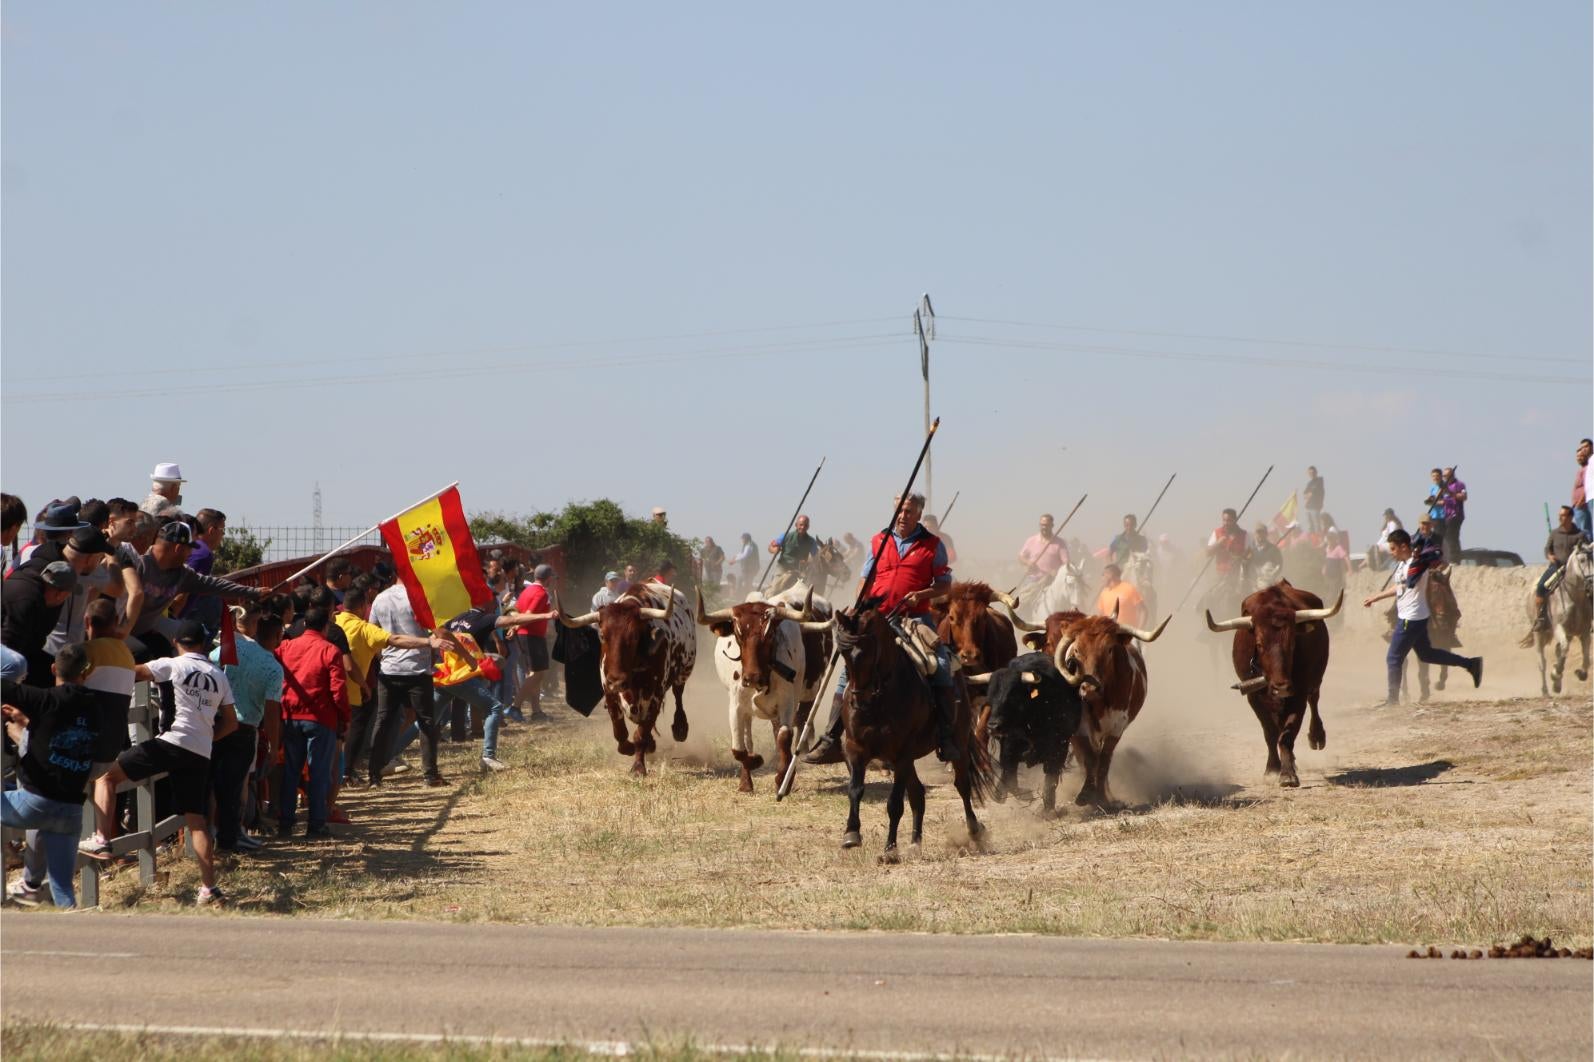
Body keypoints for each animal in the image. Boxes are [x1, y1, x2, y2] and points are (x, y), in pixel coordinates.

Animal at [557, 580, 694, 768]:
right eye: (602, 635)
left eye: (635, 636)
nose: (617, 681)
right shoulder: (610, 693)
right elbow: (620, 732)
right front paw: (629, 748)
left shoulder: (655, 697)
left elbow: (641, 734)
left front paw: (638, 767)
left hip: (685, 669)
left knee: (678, 693)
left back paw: (680, 728)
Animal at [698, 583, 835, 790]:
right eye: (738, 635)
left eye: (770, 634)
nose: (752, 677)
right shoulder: (736, 706)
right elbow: (739, 748)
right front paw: (753, 765)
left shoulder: (788, 701)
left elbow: (785, 736)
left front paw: (783, 778)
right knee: (750, 736)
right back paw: (747, 780)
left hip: (810, 693)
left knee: (798, 727)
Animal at [828, 596, 988, 861]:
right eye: (844, 653)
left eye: (866, 652)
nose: (858, 702)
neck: (880, 697)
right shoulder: (856, 749)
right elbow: (855, 790)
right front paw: (851, 834)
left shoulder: (902, 754)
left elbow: (894, 803)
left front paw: (890, 850)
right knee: (918, 795)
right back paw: (915, 843)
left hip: (958, 744)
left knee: (962, 786)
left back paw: (975, 831)